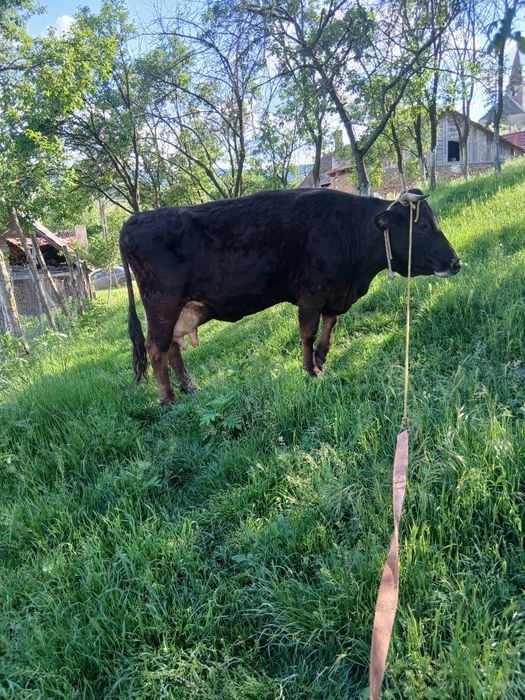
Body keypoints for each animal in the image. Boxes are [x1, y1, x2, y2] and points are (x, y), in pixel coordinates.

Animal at [120, 188, 461, 404]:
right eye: (424, 227)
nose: (455, 262)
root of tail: (134, 221)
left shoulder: (333, 294)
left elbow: (329, 330)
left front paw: (321, 360)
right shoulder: (310, 293)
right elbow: (308, 332)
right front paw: (310, 370)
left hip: (182, 307)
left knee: (172, 345)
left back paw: (190, 387)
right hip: (162, 302)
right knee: (156, 347)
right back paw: (168, 399)